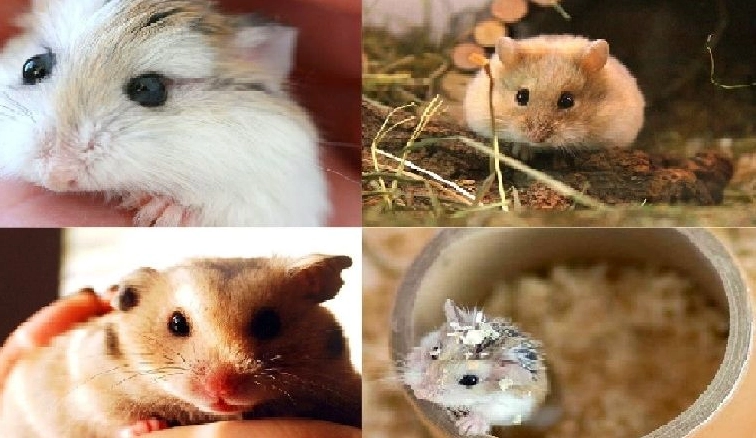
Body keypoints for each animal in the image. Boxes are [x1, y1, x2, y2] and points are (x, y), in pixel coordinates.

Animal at [0, 255, 361, 437]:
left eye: (269, 323)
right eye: (176, 323)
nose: (221, 389)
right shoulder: (86, 379)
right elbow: (109, 416)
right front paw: (148, 426)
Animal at [401, 299, 547, 436]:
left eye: (470, 380)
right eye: (435, 351)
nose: (419, 392)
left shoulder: (508, 405)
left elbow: (486, 413)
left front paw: (467, 426)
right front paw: (412, 359)